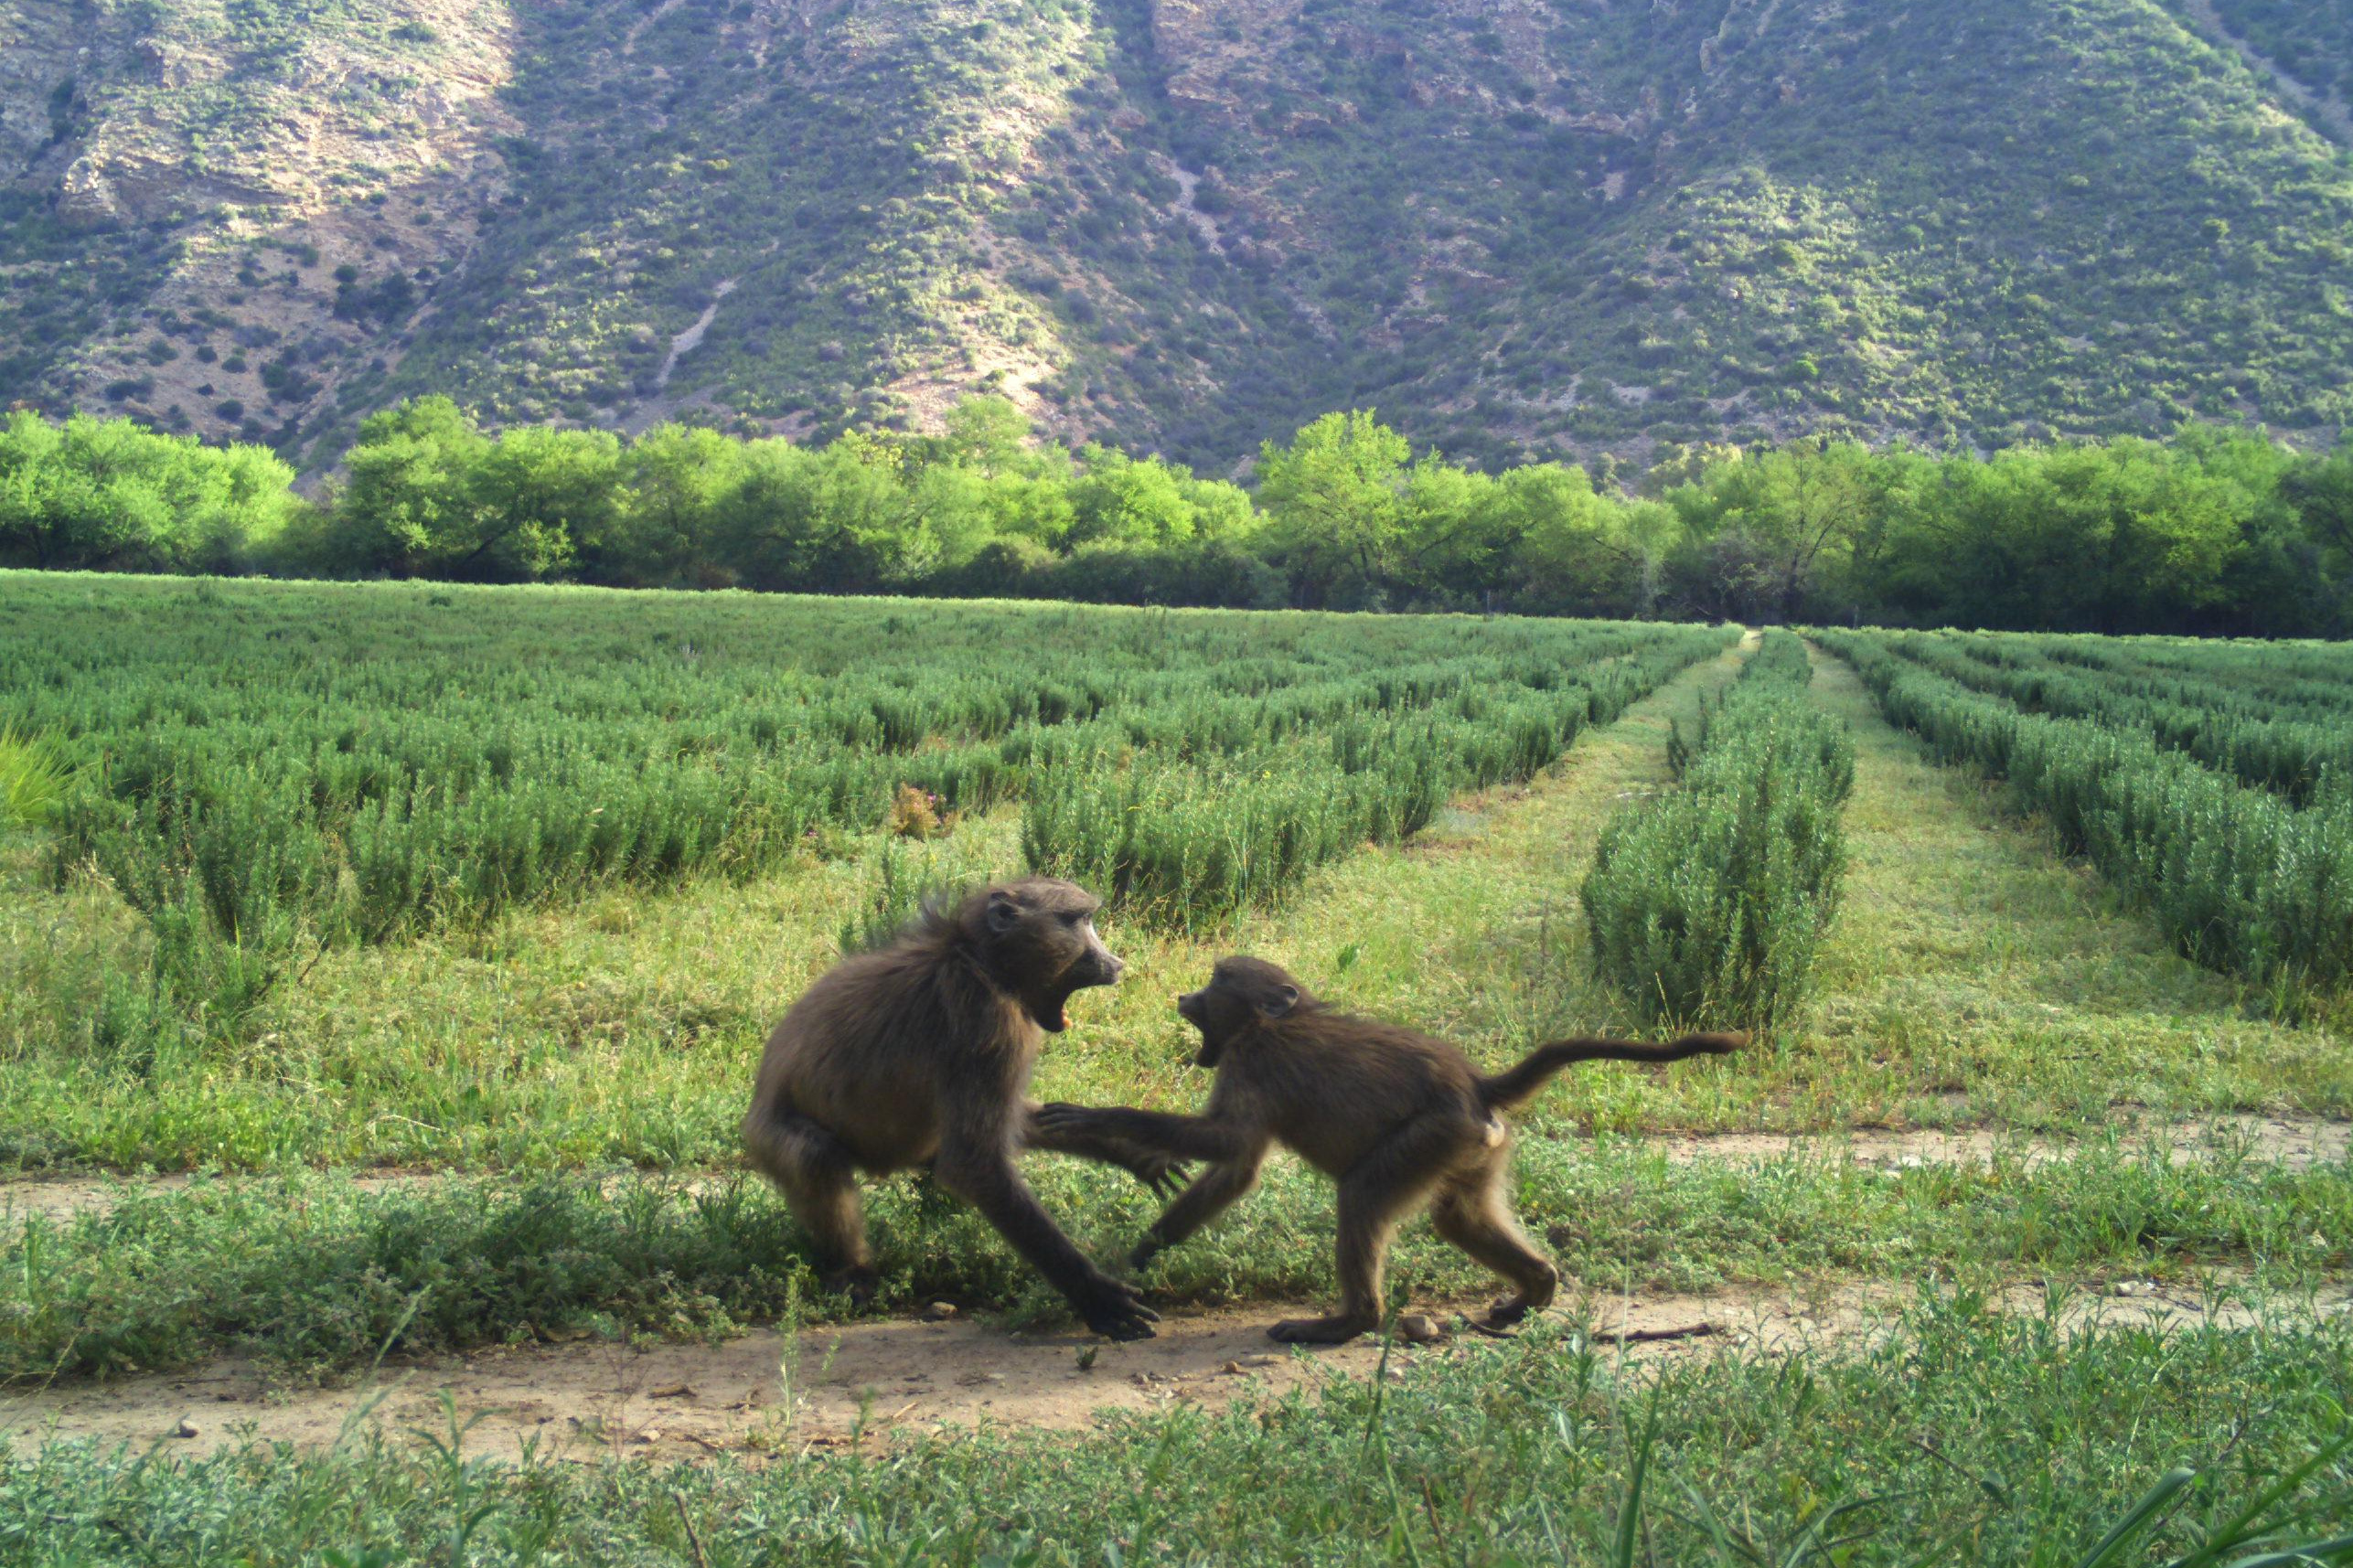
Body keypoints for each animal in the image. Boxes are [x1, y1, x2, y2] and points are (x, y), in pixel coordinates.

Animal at [744, 876, 1180, 1341]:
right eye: (1078, 921)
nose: (1116, 963)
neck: (978, 960)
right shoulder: (988, 1025)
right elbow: (975, 1162)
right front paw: (1095, 1296)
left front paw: (1137, 1153)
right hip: (771, 1137)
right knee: (813, 1156)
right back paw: (852, 1273)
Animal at [1035, 957, 1745, 1345]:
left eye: (1216, 981)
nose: (1184, 997)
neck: (1274, 1021)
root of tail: (1475, 1086)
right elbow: (1235, 1169)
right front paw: (1142, 1251)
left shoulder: (1252, 1060)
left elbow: (1229, 1145)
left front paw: (1092, 1118)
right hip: (1470, 1147)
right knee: (1456, 1217)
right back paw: (1533, 1290)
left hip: (1430, 1136)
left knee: (1361, 1197)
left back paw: (1347, 1322)